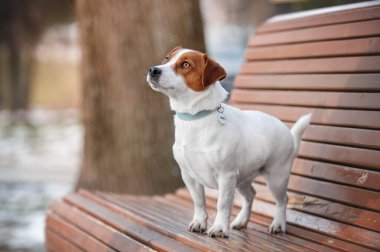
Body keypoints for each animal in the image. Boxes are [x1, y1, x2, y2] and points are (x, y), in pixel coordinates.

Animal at [146, 47, 312, 238]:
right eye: (166, 59)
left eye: (185, 64)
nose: (153, 70)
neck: (195, 119)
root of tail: (289, 133)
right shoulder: (189, 176)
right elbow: (199, 202)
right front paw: (200, 222)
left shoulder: (226, 176)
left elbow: (222, 205)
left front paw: (219, 228)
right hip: (242, 180)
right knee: (251, 195)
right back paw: (241, 220)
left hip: (276, 178)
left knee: (282, 200)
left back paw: (278, 224)